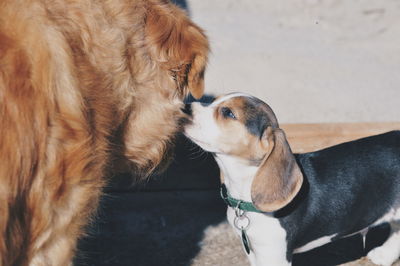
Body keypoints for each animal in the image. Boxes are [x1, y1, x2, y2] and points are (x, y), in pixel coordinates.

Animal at [184, 92, 400, 264]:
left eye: (228, 113)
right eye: (214, 100)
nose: (185, 106)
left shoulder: (272, 254)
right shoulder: (255, 250)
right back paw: (383, 256)